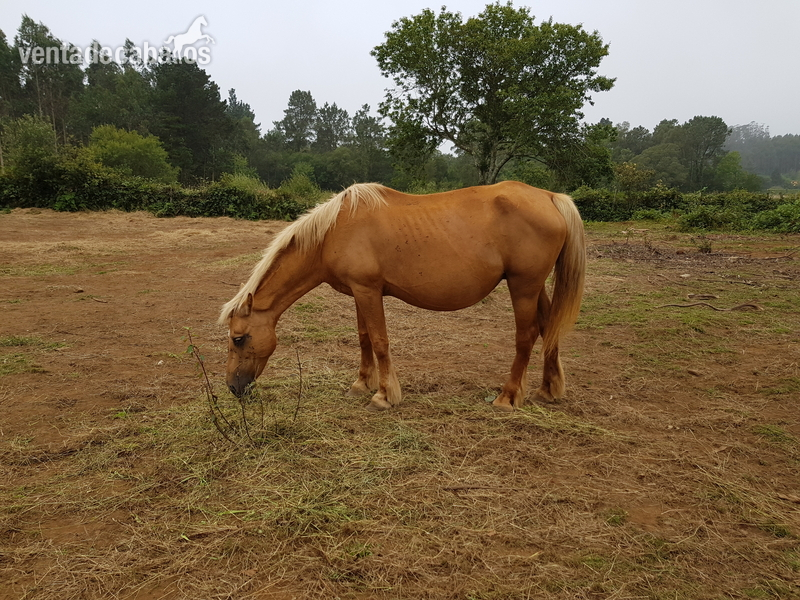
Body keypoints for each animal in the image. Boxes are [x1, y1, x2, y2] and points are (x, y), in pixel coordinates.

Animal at [219, 181, 586, 412]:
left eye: (238, 338)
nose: (233, 387)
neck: (333, 231)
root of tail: (551, 197)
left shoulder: (368, 290)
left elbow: (380, 340)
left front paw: (384, 395)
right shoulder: (358, 292)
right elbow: (364, 337)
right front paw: (362, 383)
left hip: (523, 286)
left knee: (526, 335)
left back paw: (508, 398)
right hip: (534, 287)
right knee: (548, 328)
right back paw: (548, 389)